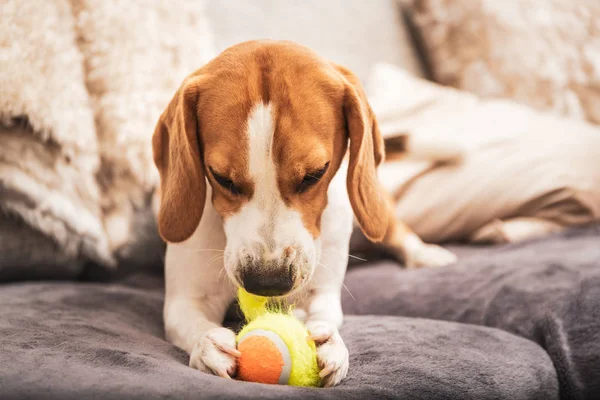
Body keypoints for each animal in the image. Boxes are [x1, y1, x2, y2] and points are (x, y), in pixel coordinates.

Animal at [152, 40, 458, 388]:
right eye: (221, 178)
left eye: (314, 174)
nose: (267, 283)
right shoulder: (185, 302)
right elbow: (192, 324)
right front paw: (209, 345)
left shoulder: (320, 292)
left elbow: (325, 315)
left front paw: (331, 344)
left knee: (393, 229)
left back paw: (424, 254)